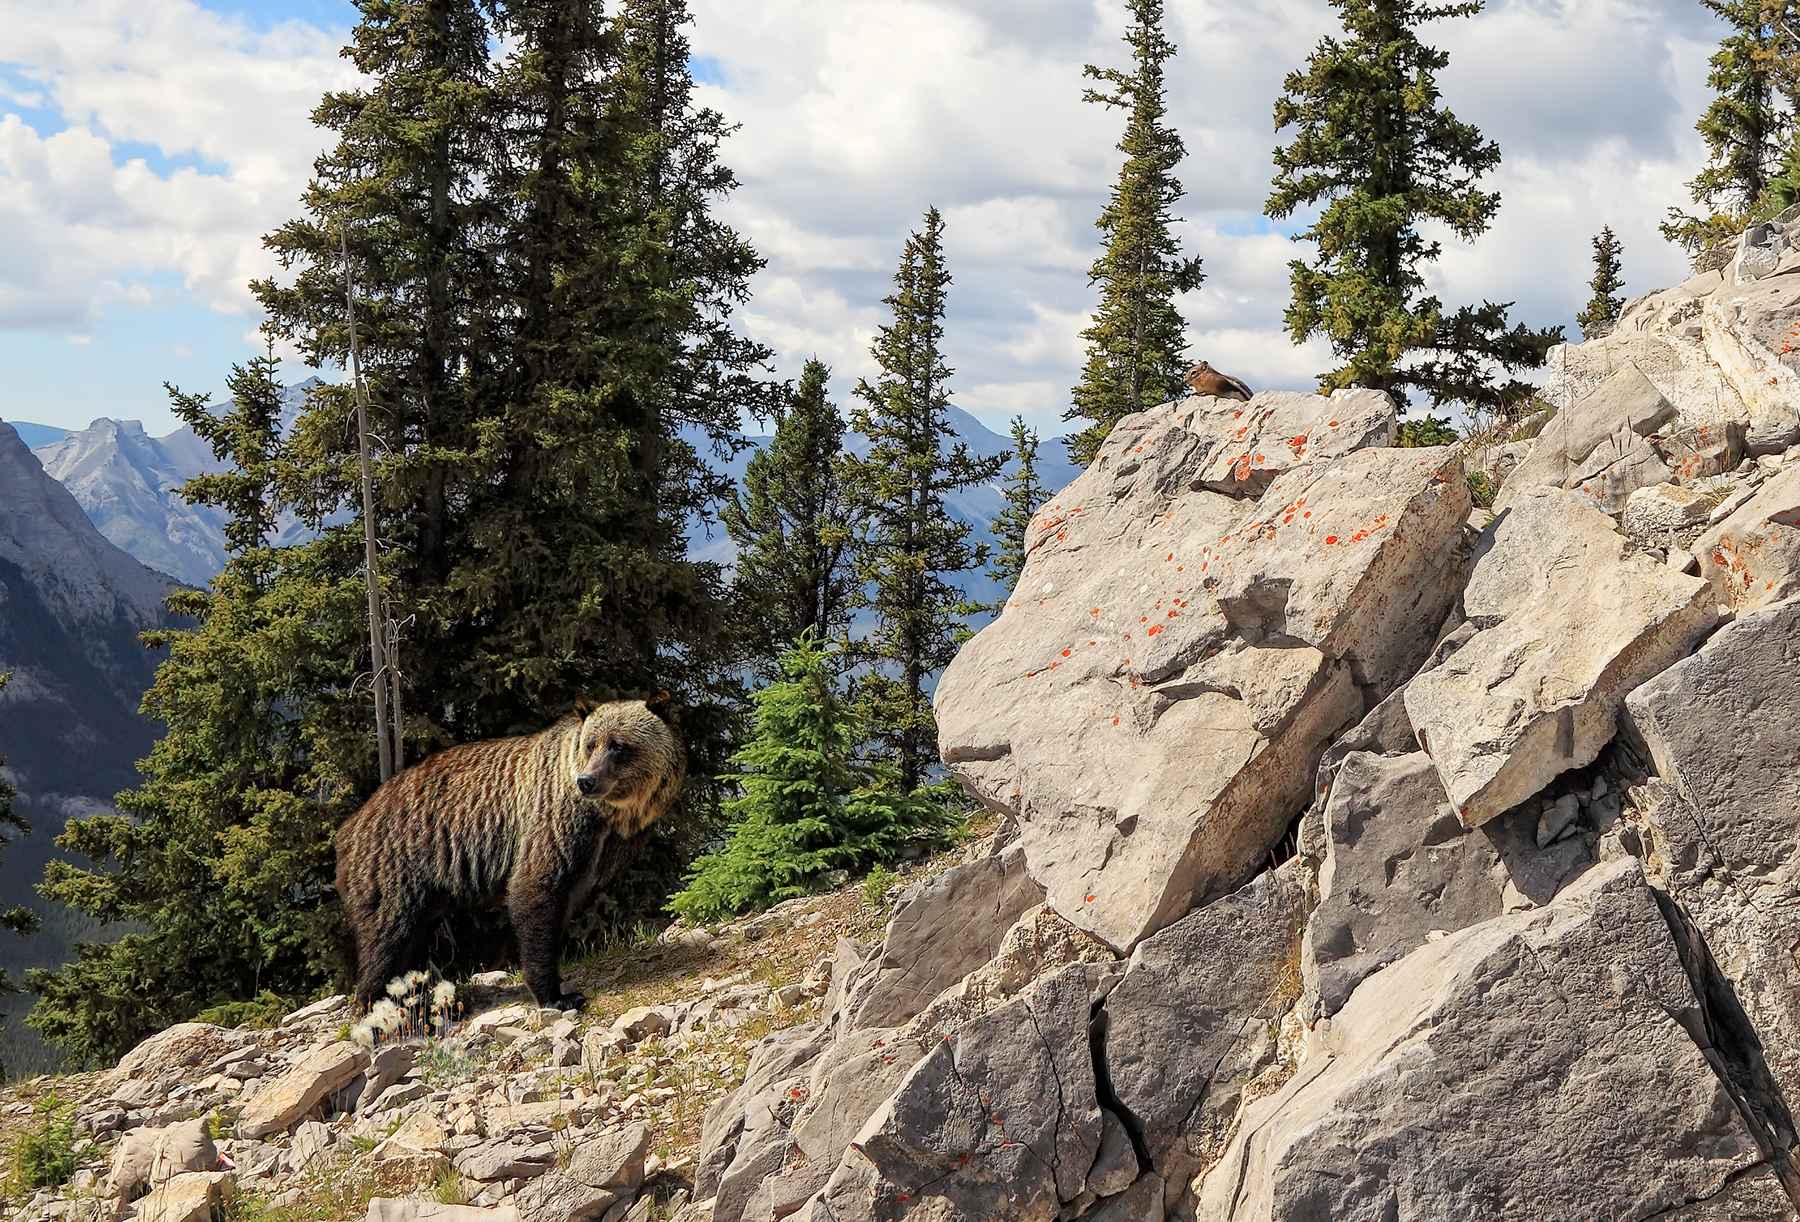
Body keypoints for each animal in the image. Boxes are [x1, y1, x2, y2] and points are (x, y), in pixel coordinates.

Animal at [334, 698, 686, 1010]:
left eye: (618, 745)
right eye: (591, 744)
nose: (587, 780)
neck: (606, 818)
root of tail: (348, 827)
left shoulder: (598, 855)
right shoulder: (550, 825)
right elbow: (534, 893)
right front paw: (557, 995)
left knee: (412, 941)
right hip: (397, 863)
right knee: (387, 937)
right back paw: (380, 1007)